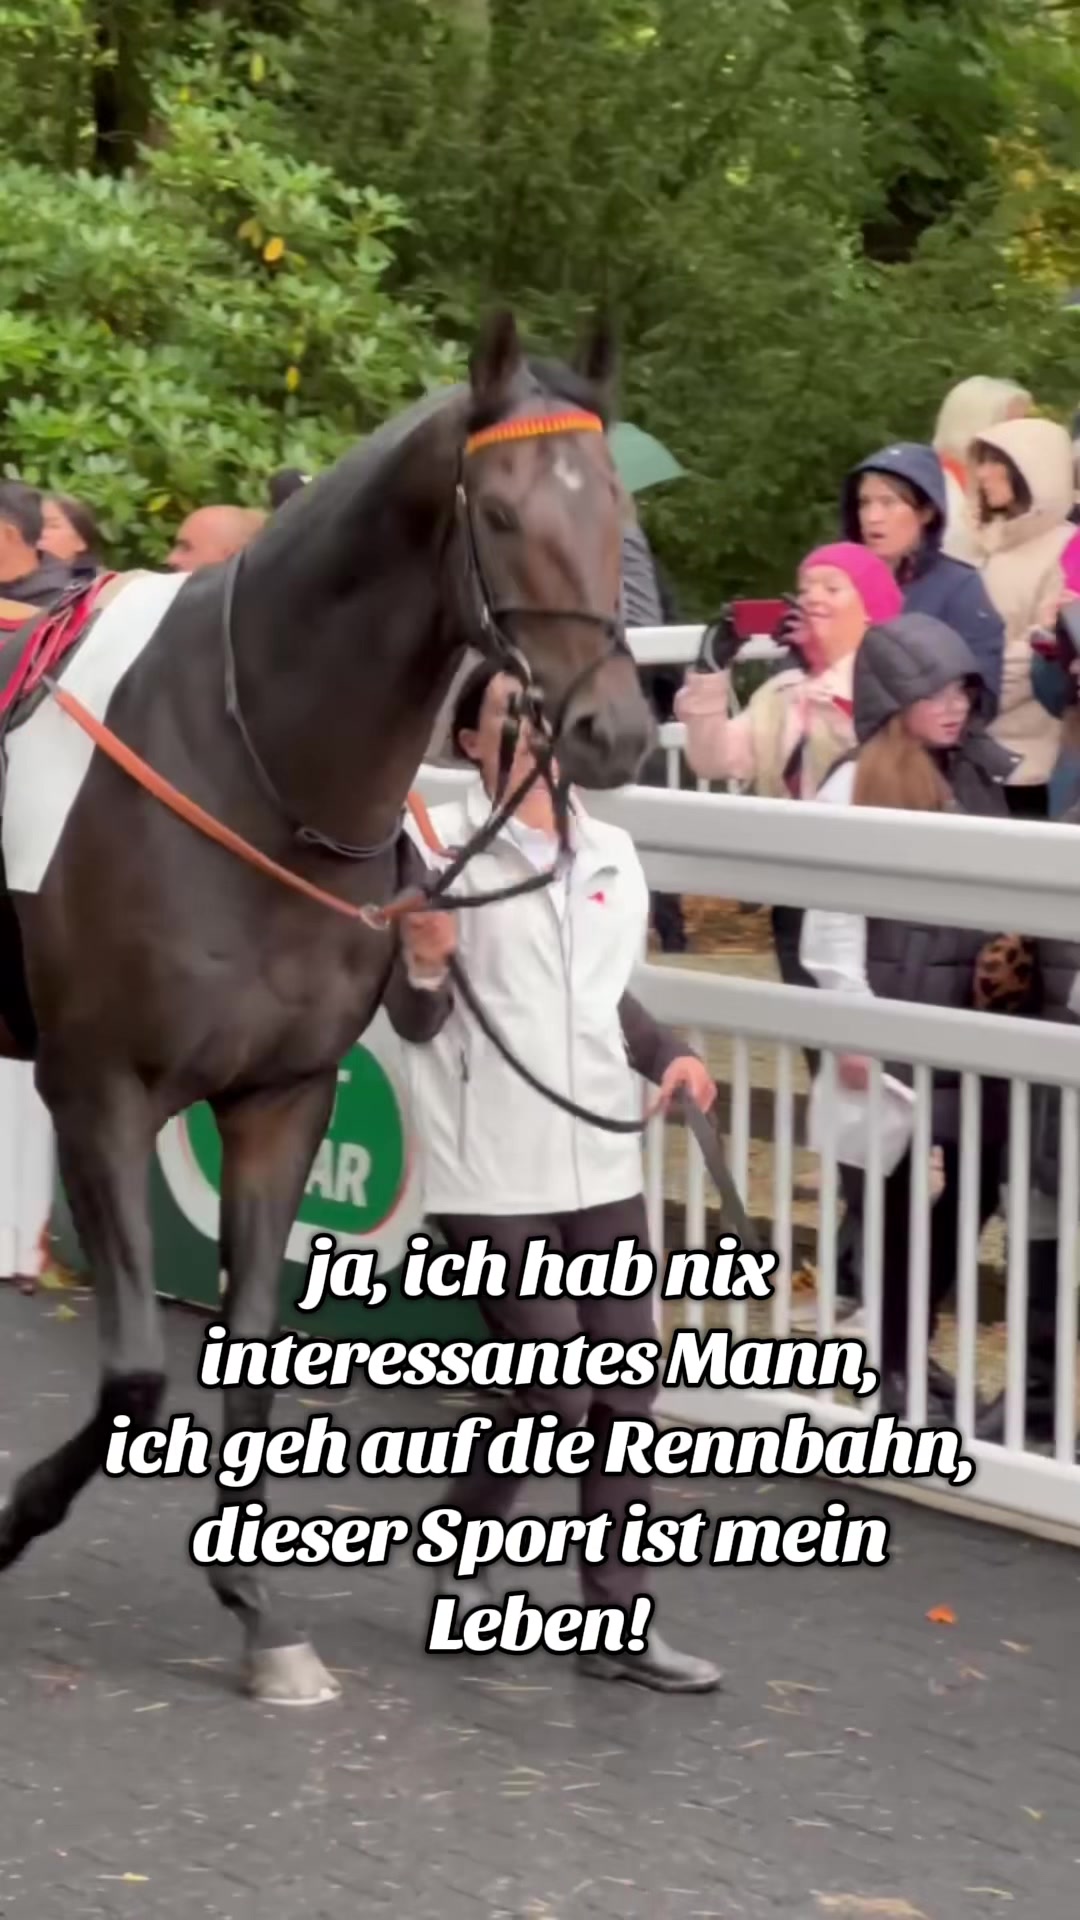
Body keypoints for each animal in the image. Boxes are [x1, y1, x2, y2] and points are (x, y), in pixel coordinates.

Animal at [0, 308, 655, 1704]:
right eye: (501, 511)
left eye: (619, 503)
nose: (614, 730)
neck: (242, 760)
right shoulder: (97, 1090)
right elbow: (136, 1377)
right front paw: (12, 1514)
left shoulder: (280, 1098)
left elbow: (249, 1357)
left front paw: (260, 1615)